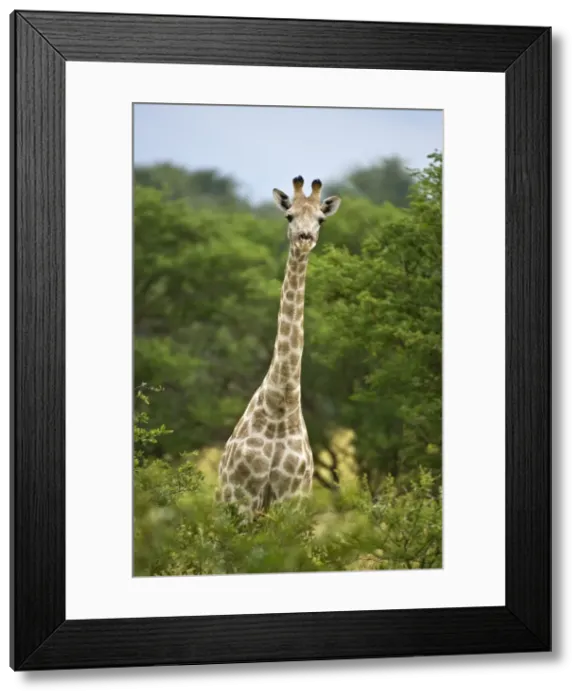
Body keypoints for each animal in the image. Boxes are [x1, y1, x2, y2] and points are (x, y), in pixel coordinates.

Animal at [216, 175, 342, 518]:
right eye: (289, 215)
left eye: (321, 219)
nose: (305, 237)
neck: (281, 406)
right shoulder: (243, 496)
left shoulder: (292, 500)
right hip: (224, 500)